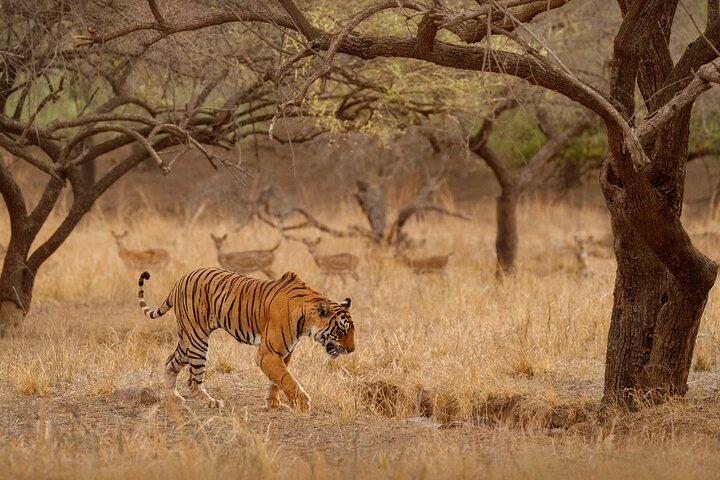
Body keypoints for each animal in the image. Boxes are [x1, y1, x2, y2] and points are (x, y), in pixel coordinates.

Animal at [137, 267, 355, 410]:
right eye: (342, 330)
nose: (351, 350)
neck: (306, 323)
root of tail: (180, 280)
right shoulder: (268, 353)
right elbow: (287, 379)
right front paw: (303, 403)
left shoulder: (284, 353)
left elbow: (277, 380)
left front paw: (275, 404)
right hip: (198, 340)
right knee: (193, 379)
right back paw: (210, 402)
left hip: (187, 339)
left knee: (169, 362)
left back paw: (173, 397)